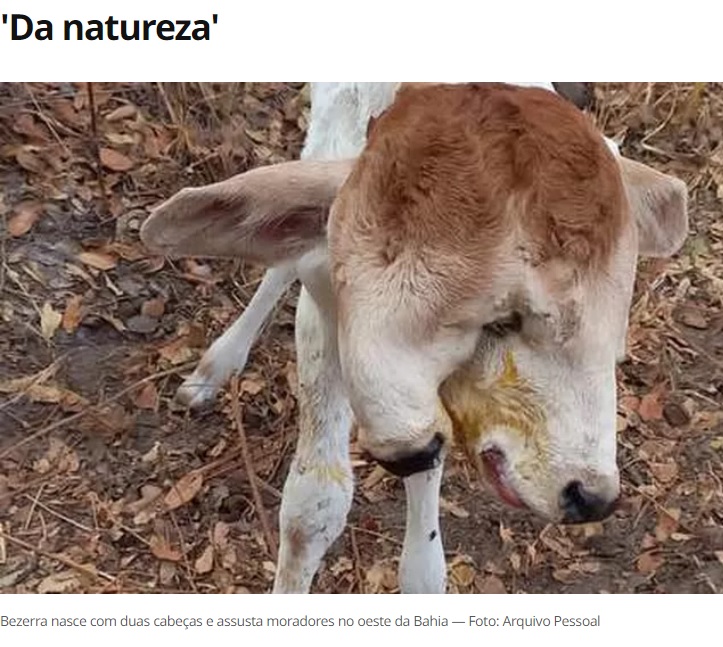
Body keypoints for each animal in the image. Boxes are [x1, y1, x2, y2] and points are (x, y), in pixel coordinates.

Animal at [140, 83, 684, 596]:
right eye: (502, 319)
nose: (587, 495)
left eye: (614, 333)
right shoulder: (326, 307)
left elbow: (423, 566)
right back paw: (215, 366)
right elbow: (312, 508)